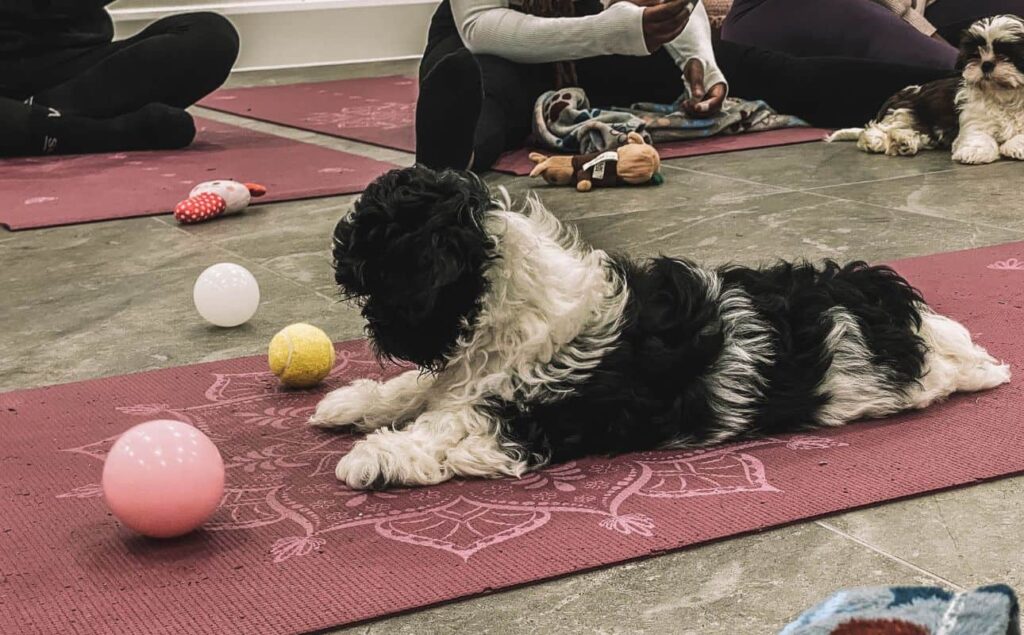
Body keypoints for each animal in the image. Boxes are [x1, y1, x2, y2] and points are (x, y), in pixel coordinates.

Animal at [309, 165, 1007, 489]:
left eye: (374, 281)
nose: (376, 333)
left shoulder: (534, 417)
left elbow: (453, 425)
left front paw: (376, 456)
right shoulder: (468, 372)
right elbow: (424, 392)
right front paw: (353, 404)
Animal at [827, 15, 1024, 164]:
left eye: (1007, 55)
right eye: (975, 55)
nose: (986, 64)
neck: (1004, 96)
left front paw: (1016, 146)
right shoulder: (974, 117)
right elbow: (978, 134)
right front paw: (975, 151)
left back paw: (903, 141)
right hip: (905, 111)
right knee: (874, 130)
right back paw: (877, 141)